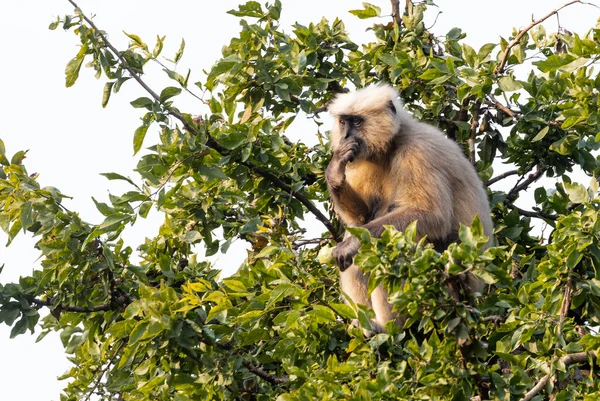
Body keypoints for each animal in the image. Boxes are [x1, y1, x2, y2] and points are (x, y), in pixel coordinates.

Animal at [326, 83, 494, 332]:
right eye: (344, 122)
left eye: (356, 122)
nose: (345, 134)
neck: (393, 144)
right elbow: (361, 219)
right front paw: (334, 174)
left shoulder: (419, 151)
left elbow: (433, 216)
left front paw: (352, 244)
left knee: (390, 250)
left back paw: (388, 328)